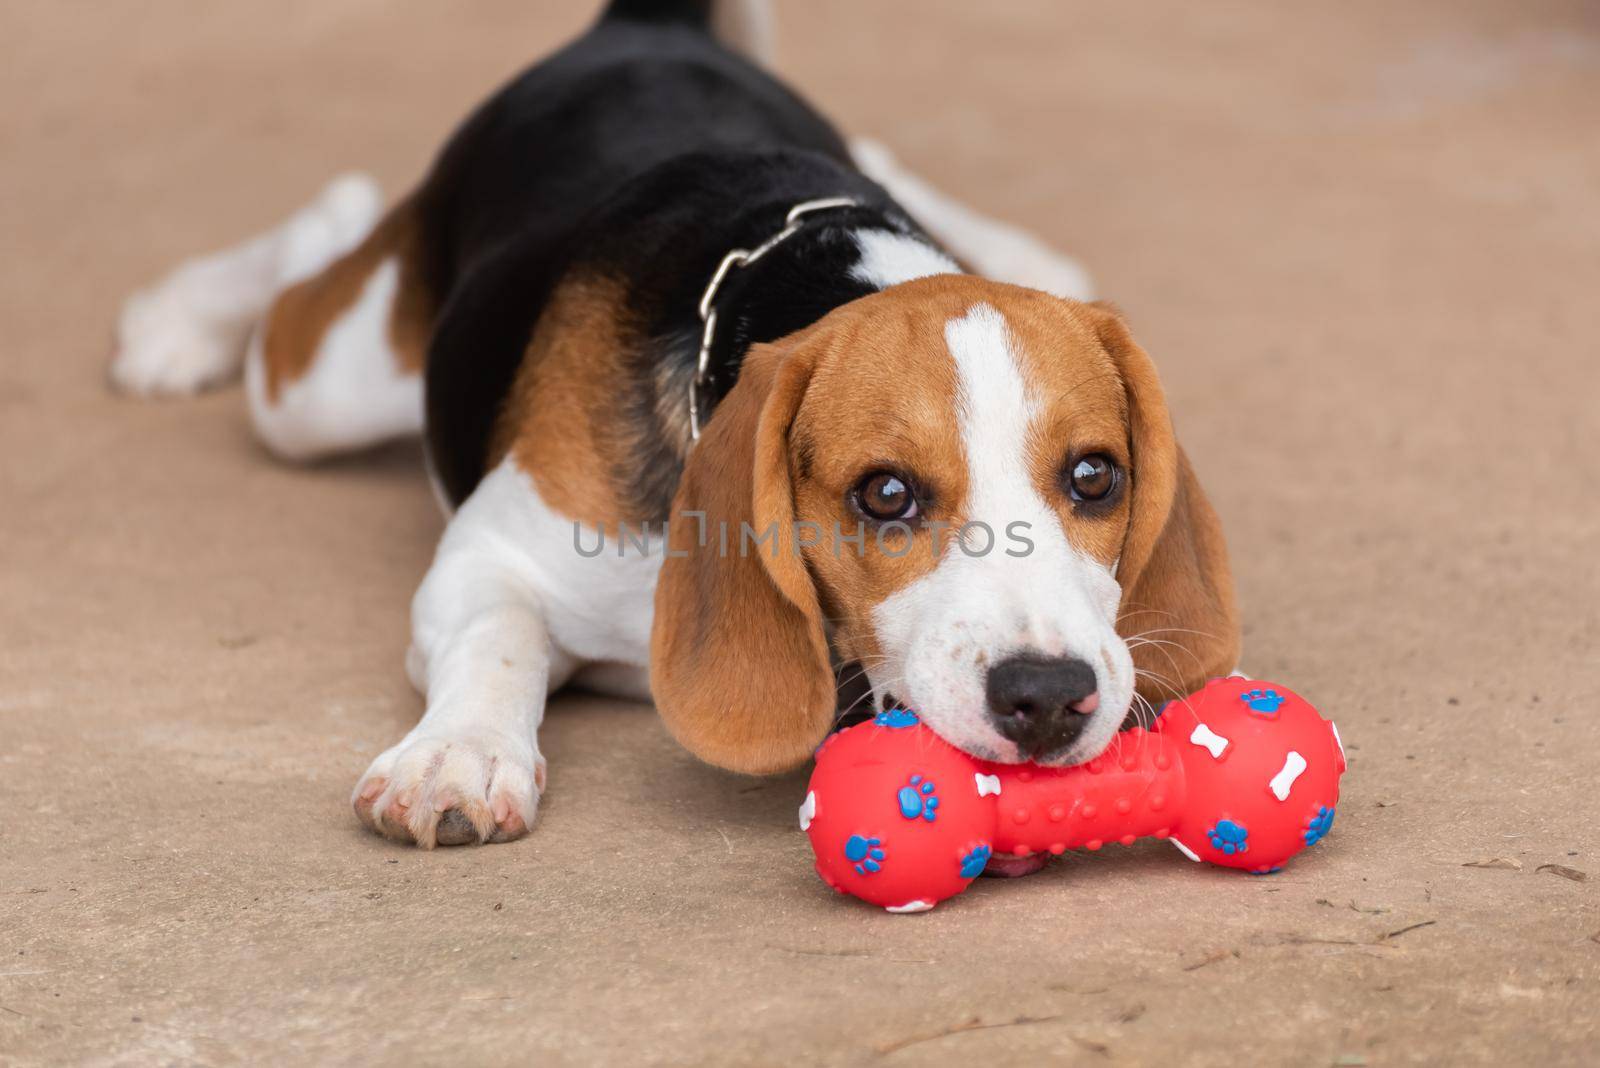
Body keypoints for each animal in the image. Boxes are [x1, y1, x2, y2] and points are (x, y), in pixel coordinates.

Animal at [116, 0, 1235, 850]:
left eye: (1094, 477)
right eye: (884, 493)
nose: (1047, 695)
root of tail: (646, 26)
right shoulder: (486, 557)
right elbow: (498, 637)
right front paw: (456, 755)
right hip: (317, 394)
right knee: (323, 241)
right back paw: (178, 321)